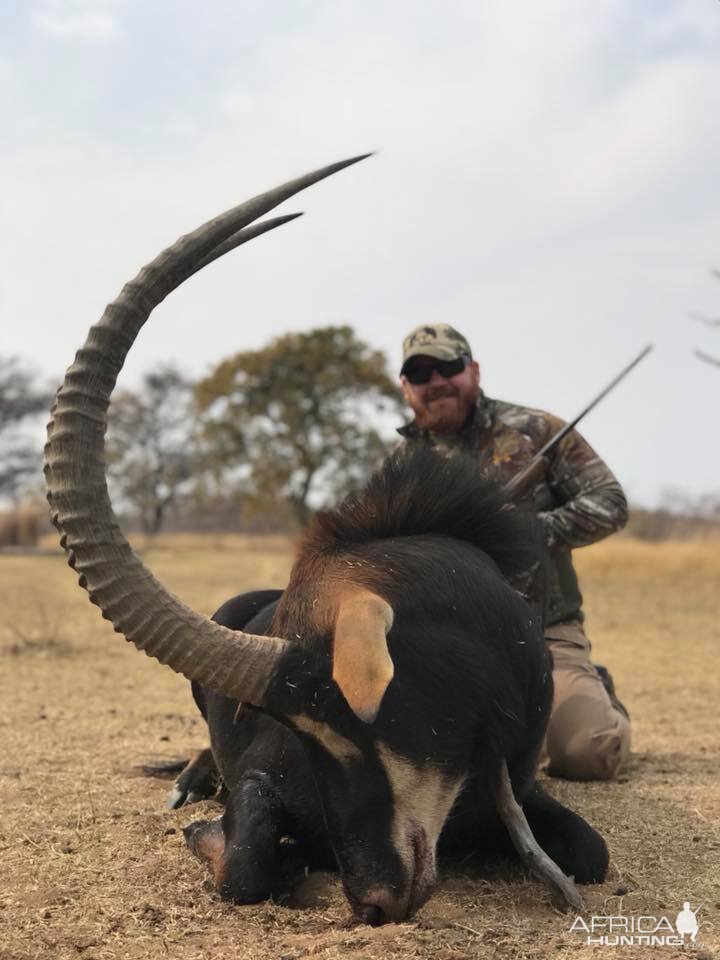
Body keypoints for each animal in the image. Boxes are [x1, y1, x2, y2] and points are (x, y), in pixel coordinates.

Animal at [45, 154, 608, 928]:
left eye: (342, 719)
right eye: (301, 731)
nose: (372, 899)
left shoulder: (524, 788)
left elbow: (592, 854)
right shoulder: (262, 775)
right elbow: (245, 861)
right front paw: (223, 835)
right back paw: (191, 784)